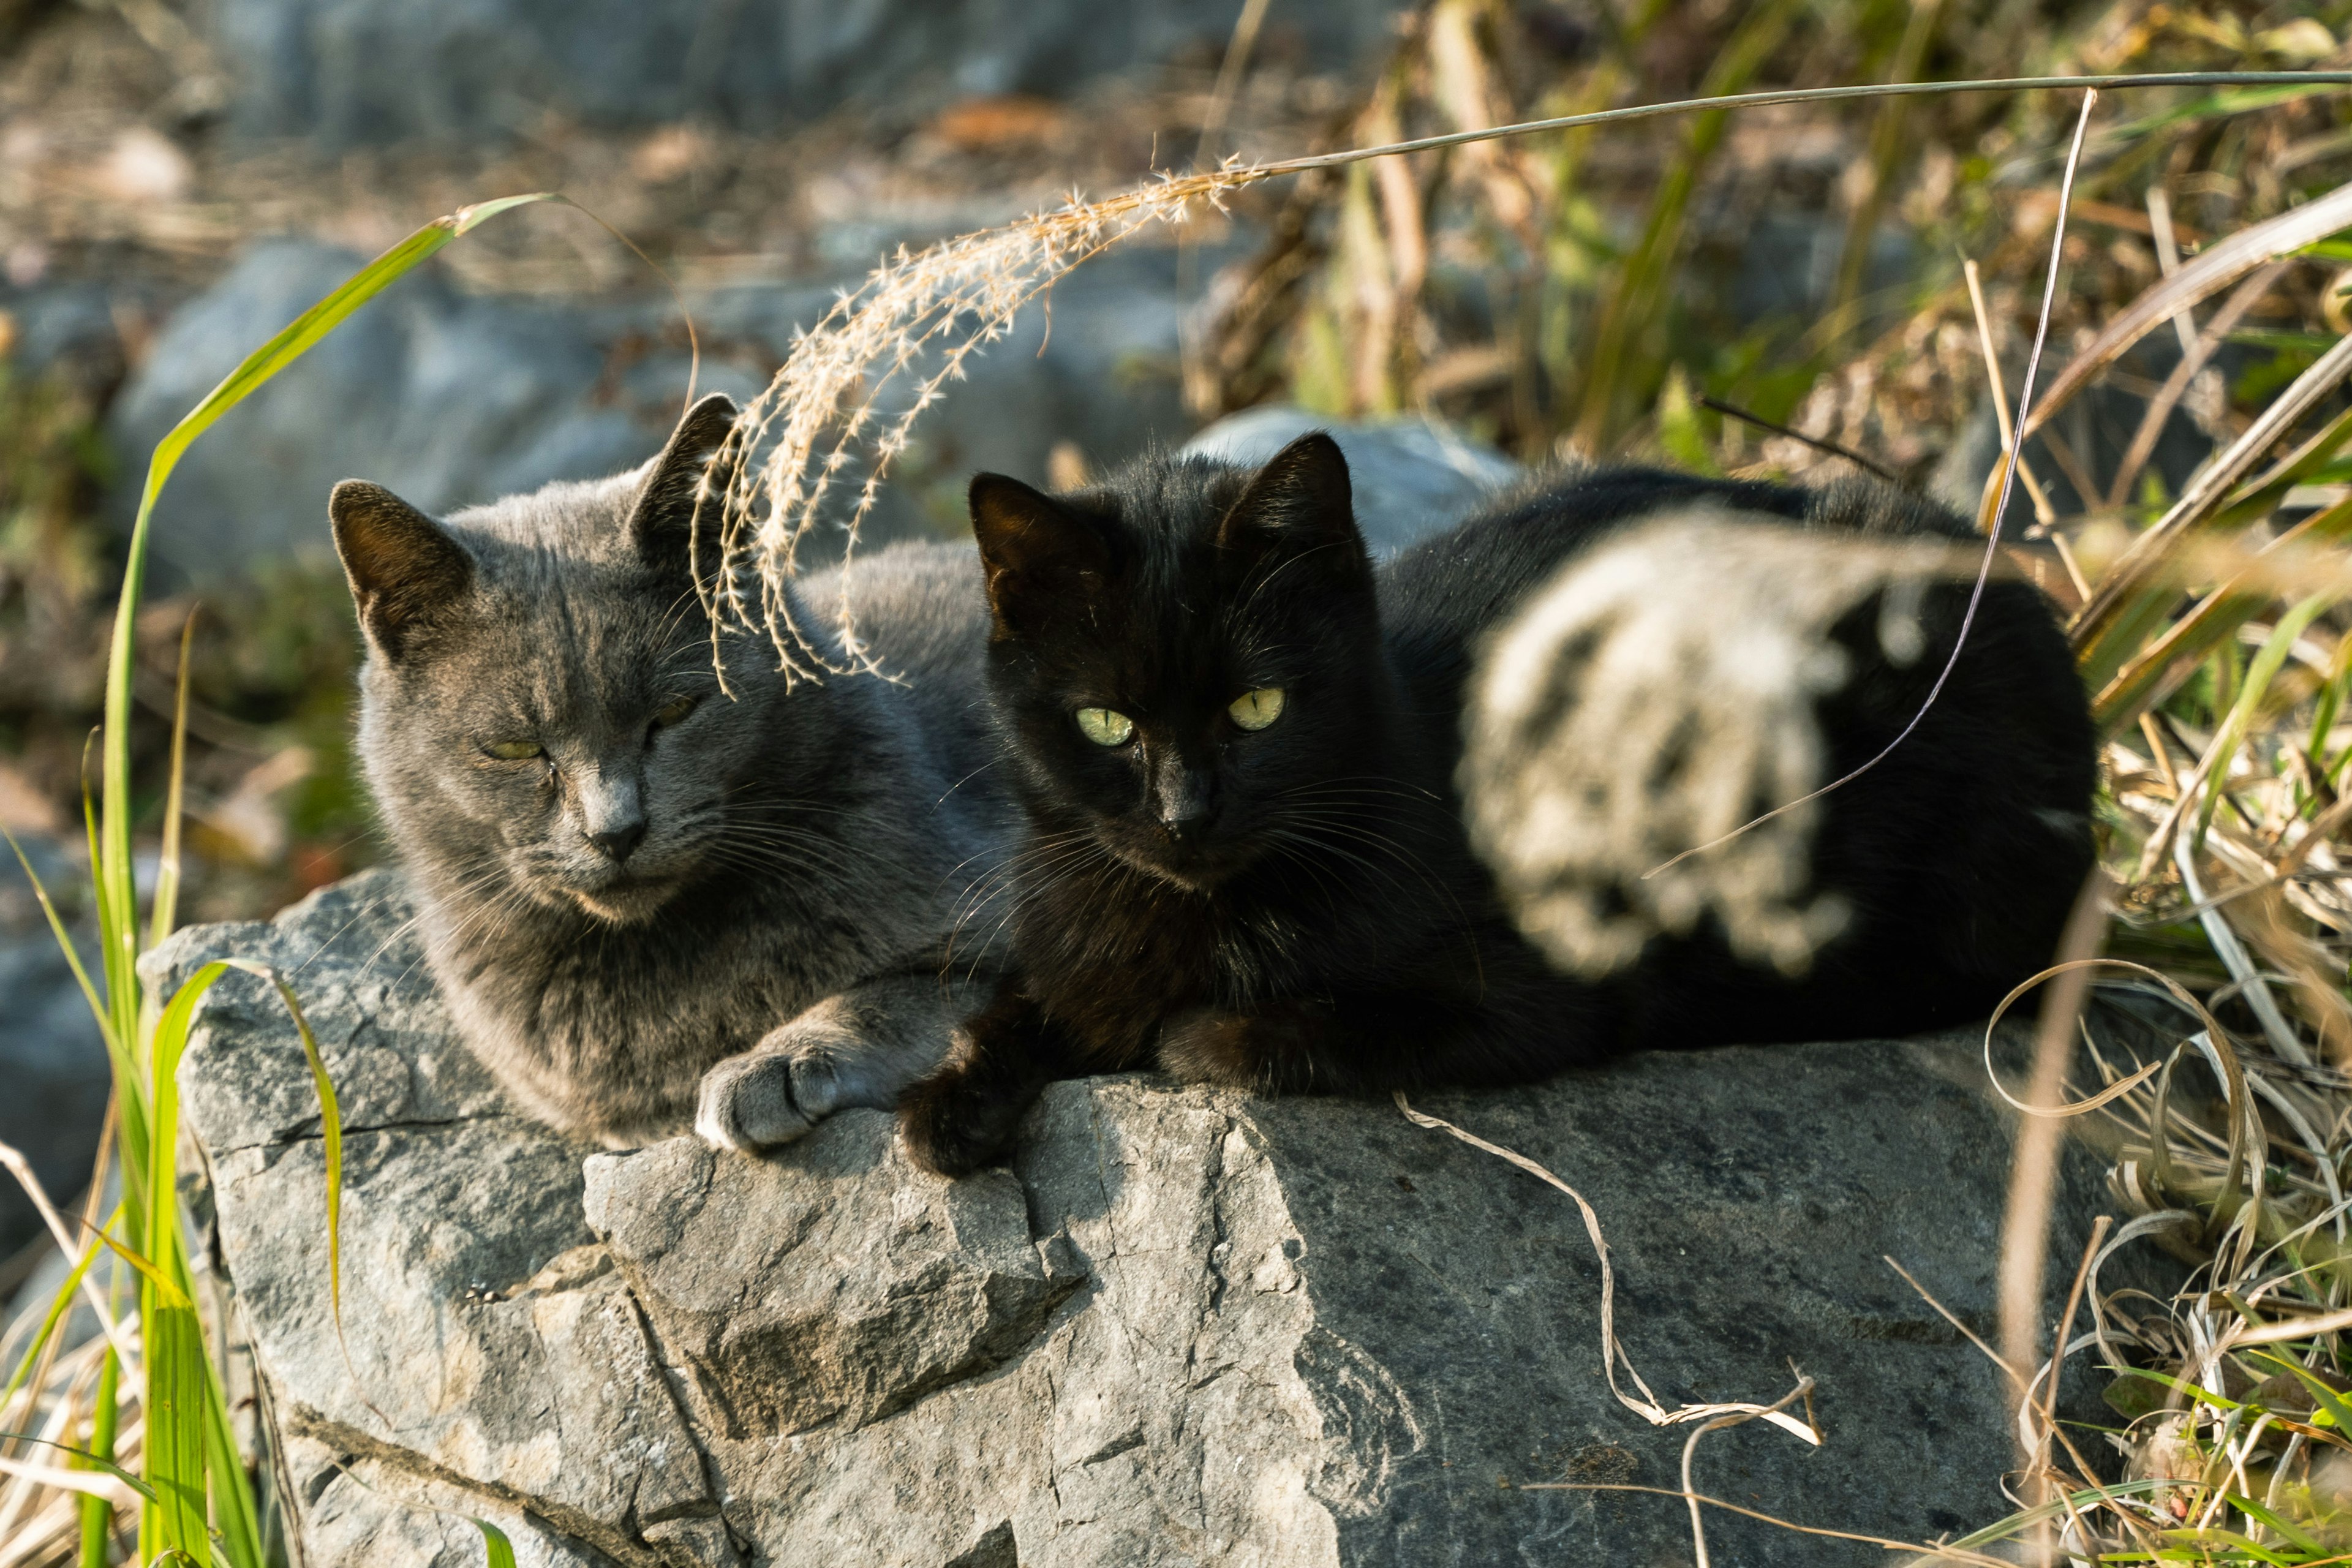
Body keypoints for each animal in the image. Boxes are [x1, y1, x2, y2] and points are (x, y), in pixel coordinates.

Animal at [894, 432, 2098, 1175]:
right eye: (1106, 723)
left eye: (1257, 706)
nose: (1185, 815)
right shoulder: (1072, 940)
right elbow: (1011, 1008)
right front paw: (947, 1106)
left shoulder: (1541, 980)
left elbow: (1316, 1025)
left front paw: (1200, 1033)